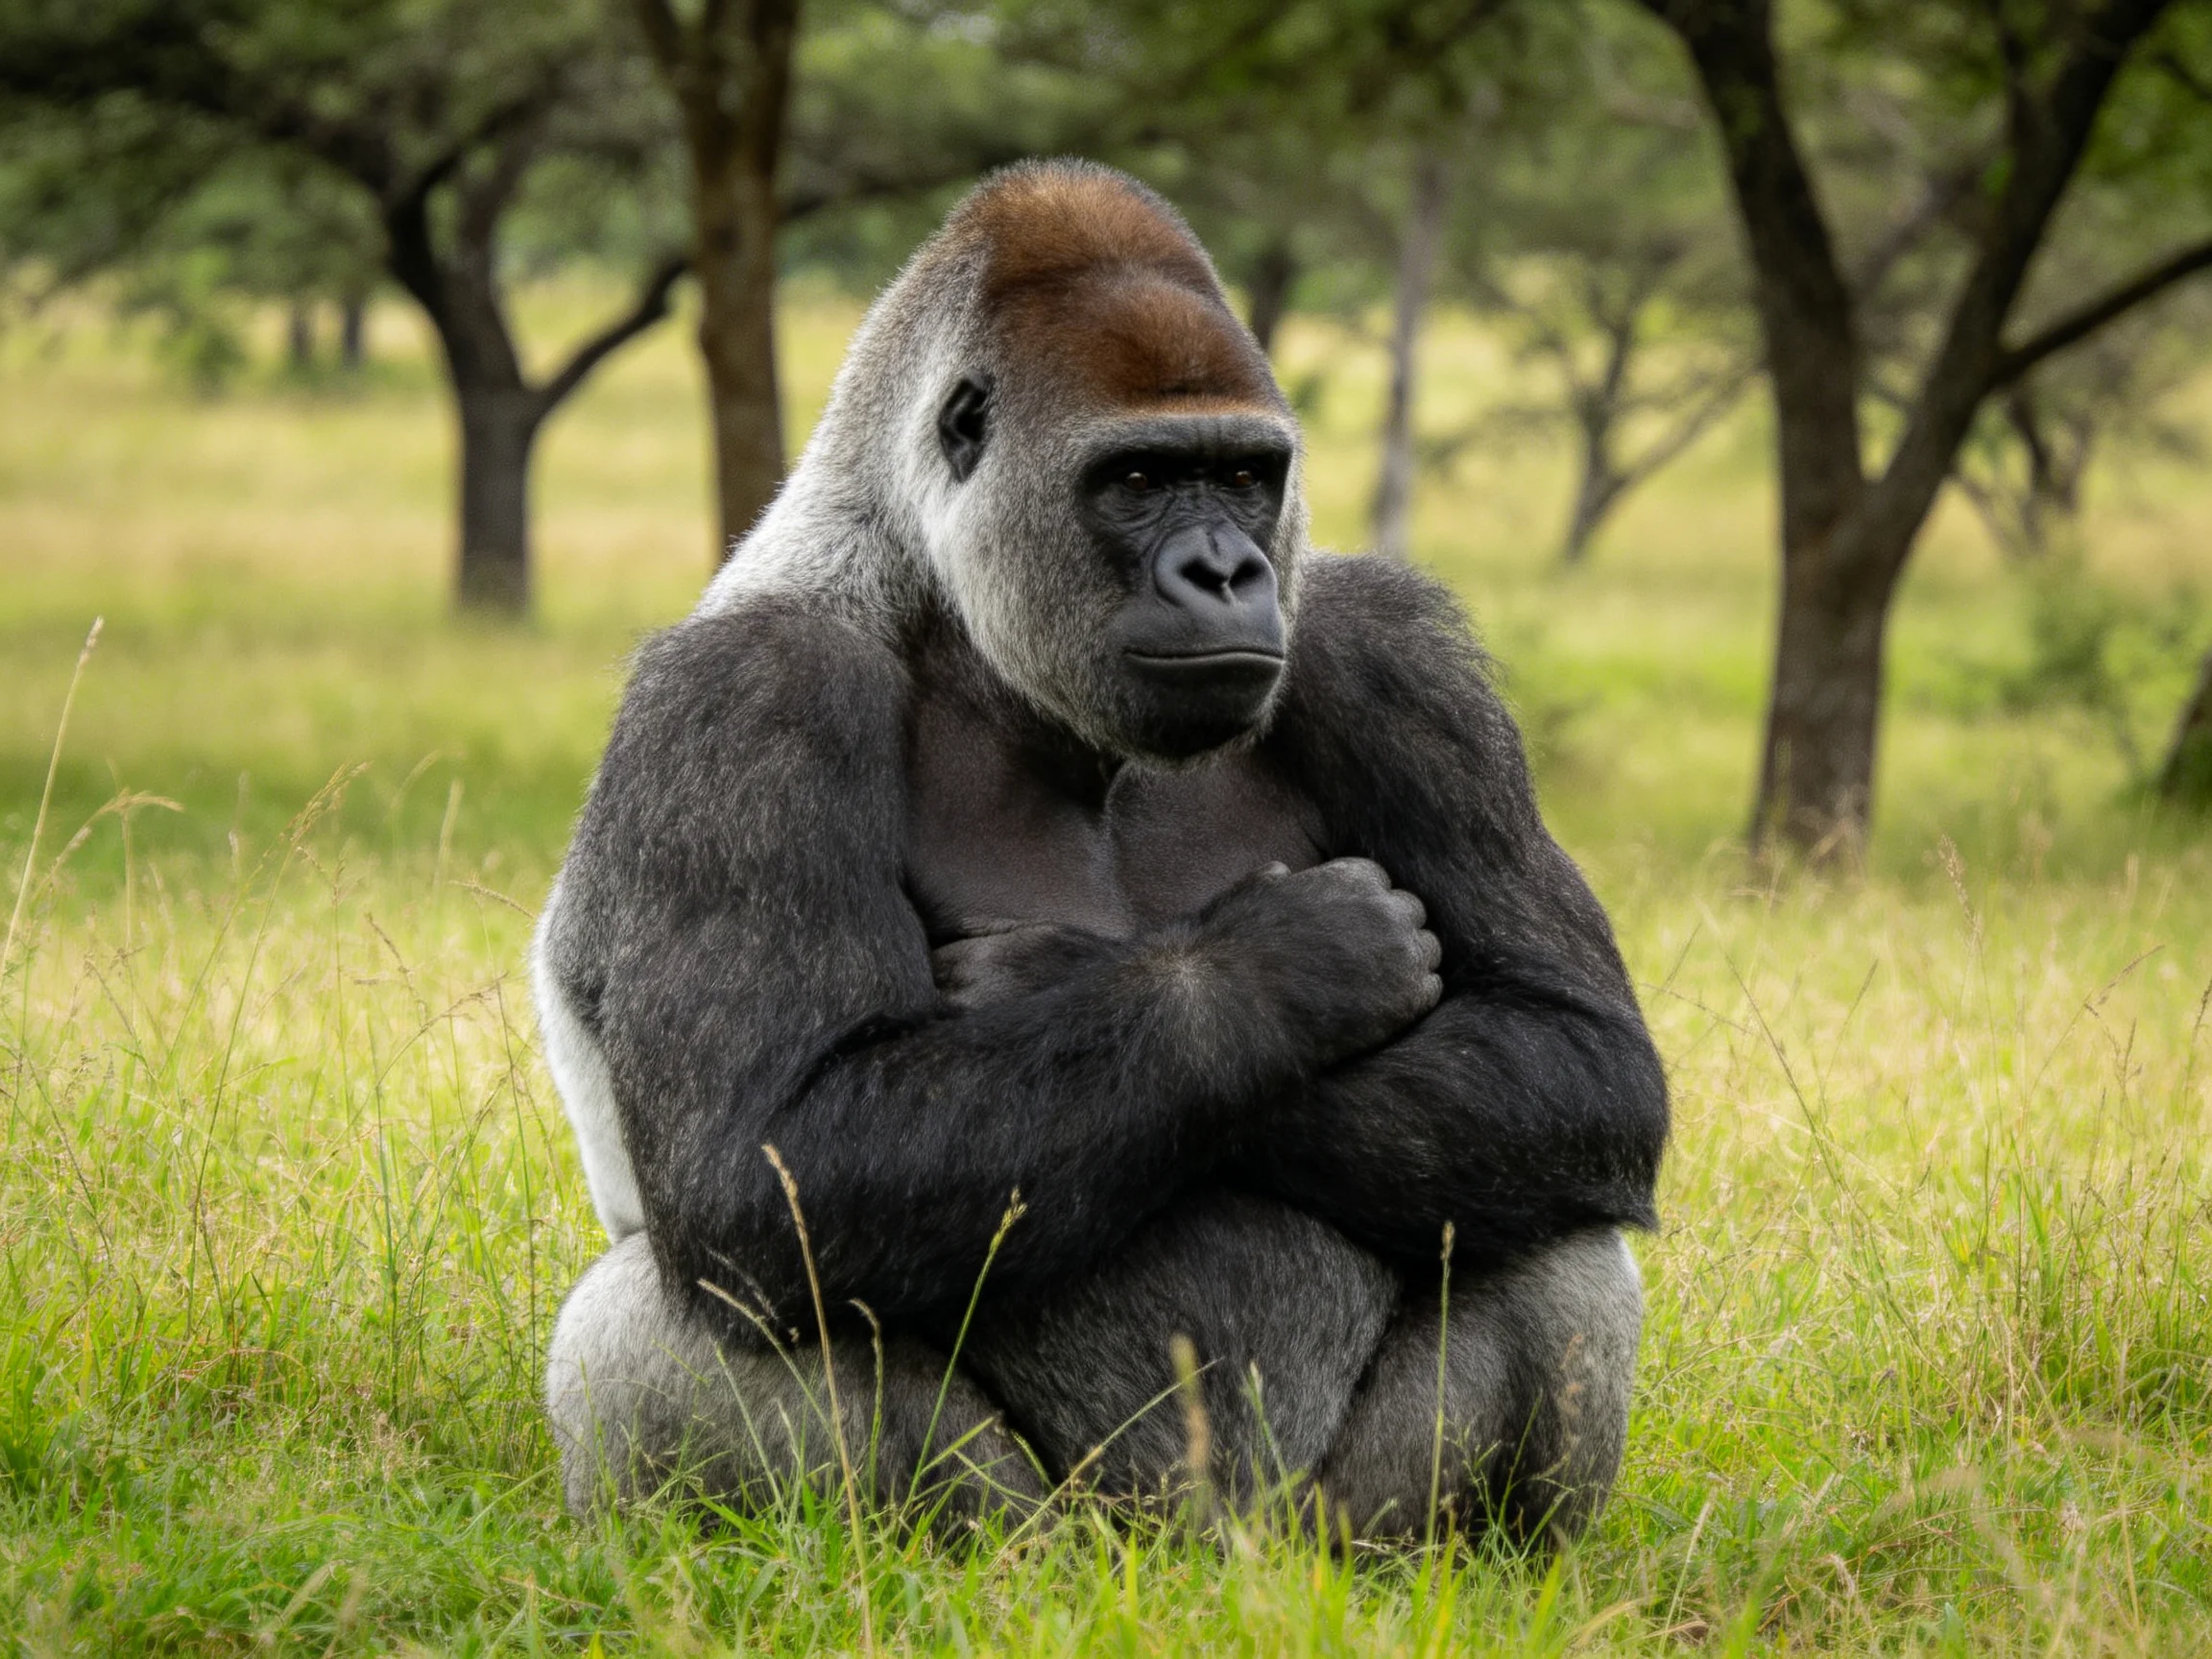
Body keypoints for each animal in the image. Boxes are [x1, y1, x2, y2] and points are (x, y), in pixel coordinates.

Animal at [534, 160, 1667, 1543]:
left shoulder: (1398, 660)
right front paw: (1273, 975)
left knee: (1553, 1227)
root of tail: (1200, 1555)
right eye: (1135, 479)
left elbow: (1578, 1053)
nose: (1226, 570)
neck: (954, 606)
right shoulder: (749, 696)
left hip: (1310, 1532)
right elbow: (764, 1159)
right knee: (675, 1318)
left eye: (1245, 476)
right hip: (1052, 1539)